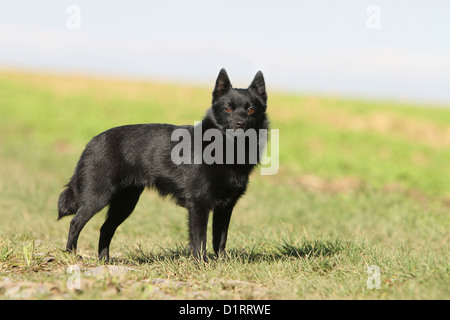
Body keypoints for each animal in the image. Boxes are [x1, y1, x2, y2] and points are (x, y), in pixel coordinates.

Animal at [57, 69, 268, 262]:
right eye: (227, 109)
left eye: (251, 110)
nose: (240, 124)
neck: (226, 149)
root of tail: (91, 142)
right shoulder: (199, 204)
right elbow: (199, 239)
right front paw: (201, 264)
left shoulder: (225, 208)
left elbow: (220, 239)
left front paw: (221, 262)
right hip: (98, 196)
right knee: (75, 223)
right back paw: (71, 256)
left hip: (126, 202)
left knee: (105, 228)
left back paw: (104, 260)